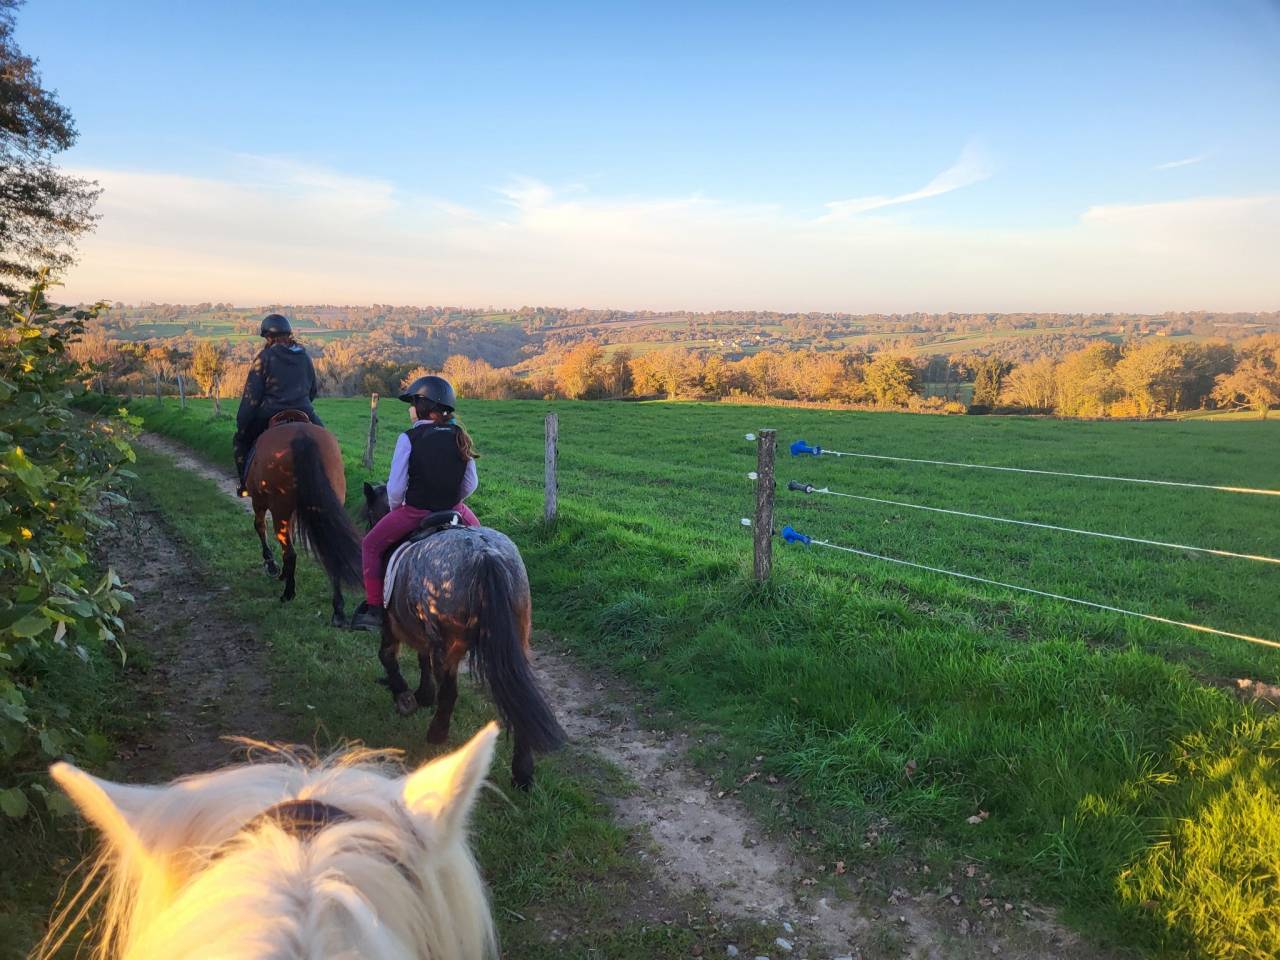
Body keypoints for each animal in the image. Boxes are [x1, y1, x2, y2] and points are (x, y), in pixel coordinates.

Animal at [245, 417, 362, 624]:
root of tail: (302, 435)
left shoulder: (259, 502)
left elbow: (260, 527)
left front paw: (272, 565)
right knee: (331, 552)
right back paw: (338, 611)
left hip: (279, 508)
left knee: (289, 551)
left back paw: (288, 594)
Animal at [362, 482, 566, 790]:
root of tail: (485, 555)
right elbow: (420, 661)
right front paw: (422, 695)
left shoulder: (393, 625)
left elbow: (387, 656)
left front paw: (405, 696)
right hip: (515, 639)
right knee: (519, 701)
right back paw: (522, 772)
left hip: (445, 644)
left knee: (450, 692)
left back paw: (436, 736)